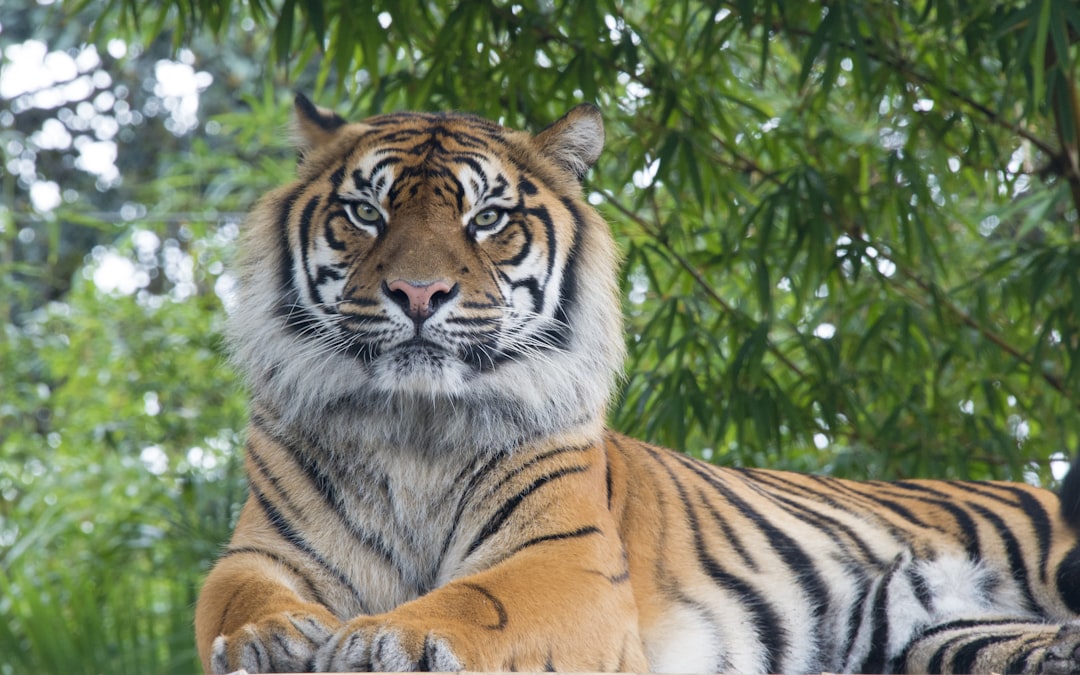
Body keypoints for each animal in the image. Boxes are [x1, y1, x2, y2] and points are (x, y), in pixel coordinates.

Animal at [194, 94, 1080, 675]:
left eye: (487, 219)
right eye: (366, 213)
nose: (418, 293)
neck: (414, 424)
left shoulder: (563, 558)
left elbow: (477, 598)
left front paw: (391, 639)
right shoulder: (260, 551)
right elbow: (236, 598)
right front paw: (271, 639)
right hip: (948, 640)